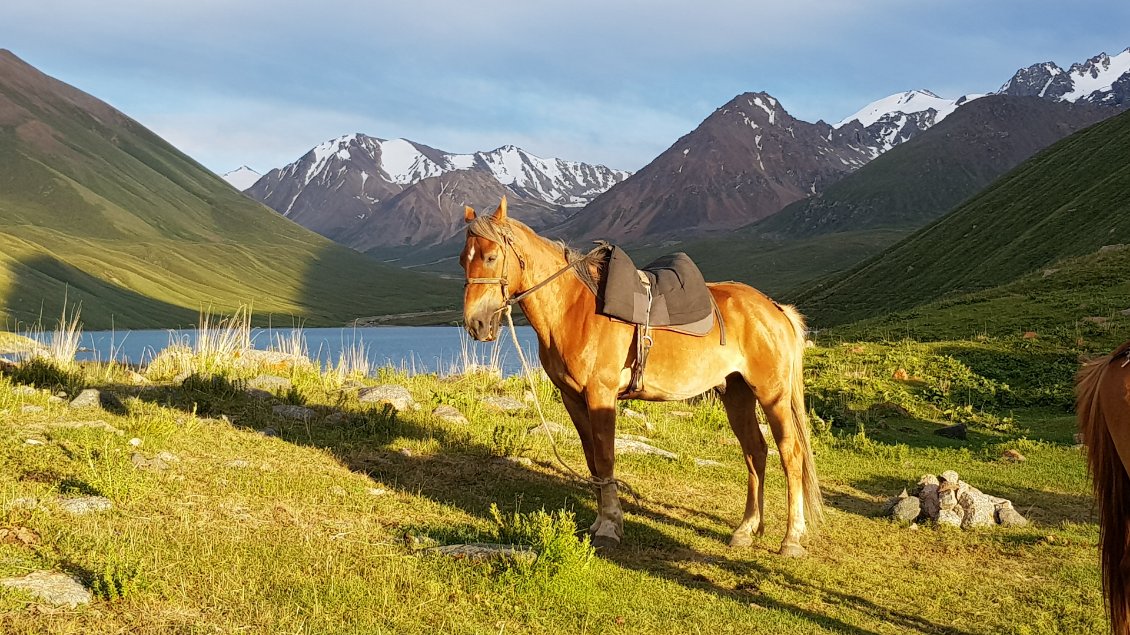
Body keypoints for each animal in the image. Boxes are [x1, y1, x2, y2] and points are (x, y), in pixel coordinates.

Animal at [458, 196, 822, 553]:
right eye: (463, 260)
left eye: (491, 257)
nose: (477, 324)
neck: (574, 309)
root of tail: (775, 309)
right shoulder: (572, 398)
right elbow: (592, 461)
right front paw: (600, 522)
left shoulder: (601, 395)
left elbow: (605, 459)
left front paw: (609, 527)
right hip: (737, 394)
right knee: (755, 452)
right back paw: (746, 529)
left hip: (772, 395)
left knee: (791, 453)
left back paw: (791, 538)